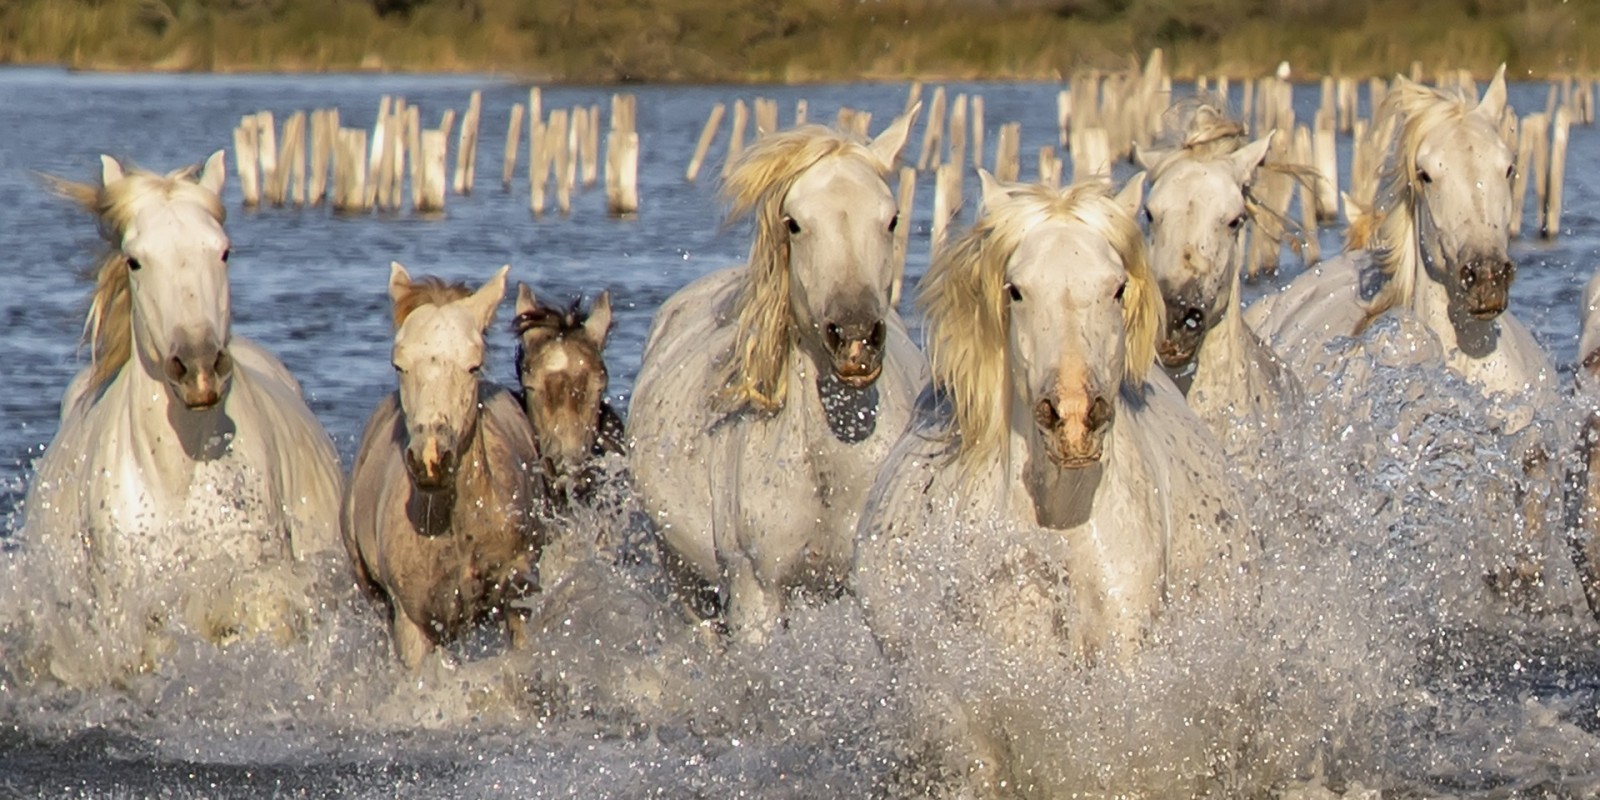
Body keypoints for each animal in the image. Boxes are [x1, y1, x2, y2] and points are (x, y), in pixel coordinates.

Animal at [627, 111, 928, 643]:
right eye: (795, 223)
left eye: (892, 218)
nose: (855, 338)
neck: (831, 469)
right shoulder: (756, 597)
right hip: (685, 582)